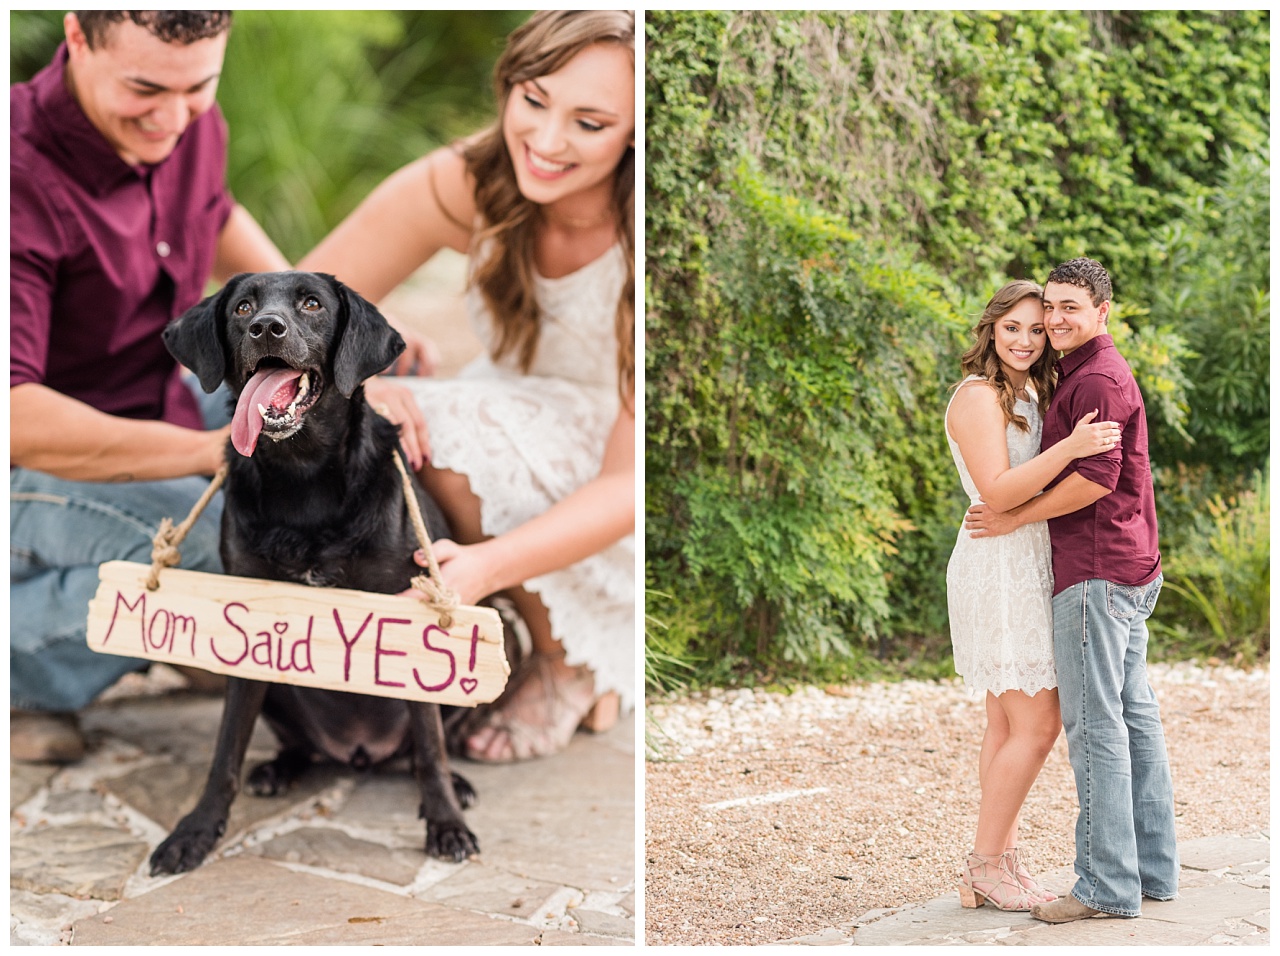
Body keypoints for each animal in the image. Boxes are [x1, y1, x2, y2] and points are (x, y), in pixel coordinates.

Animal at [149, 268, 478, 875]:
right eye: (242, 307)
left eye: (311, 304)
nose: (266, 327)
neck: (302, 479)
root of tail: (360, 751)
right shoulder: (248, 626)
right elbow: (225, 750)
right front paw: (196, 831)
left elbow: (431, 747)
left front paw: (446, 821)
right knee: (294, 743)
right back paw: (279, 768)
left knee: (421, 749)